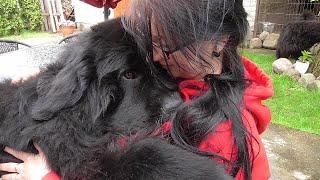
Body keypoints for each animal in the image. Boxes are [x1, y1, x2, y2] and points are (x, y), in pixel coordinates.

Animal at [0, 19, 230, 179]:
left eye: (160, 67)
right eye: (128, 75)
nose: (175, 105)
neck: (76, 115)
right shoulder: (80, 153)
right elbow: (144, 151)